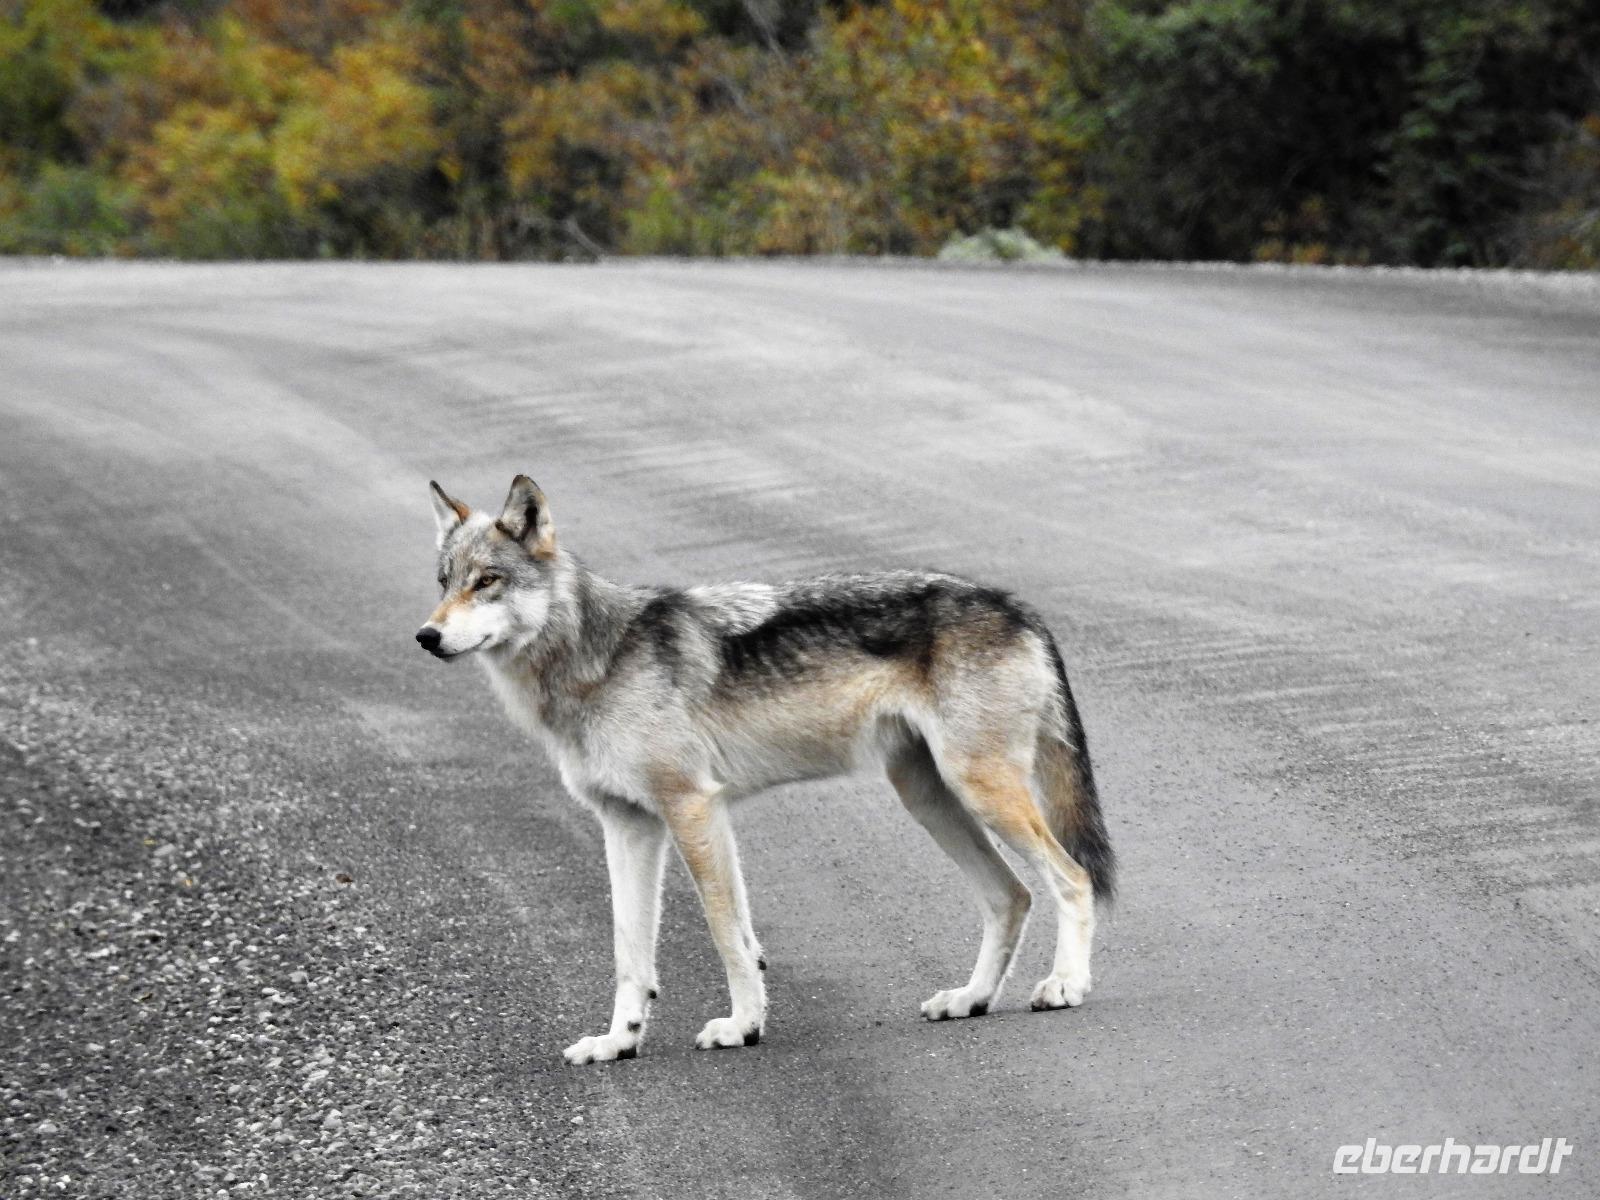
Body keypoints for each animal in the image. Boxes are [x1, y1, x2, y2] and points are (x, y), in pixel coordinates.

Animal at [416, 475, 1114, 1063]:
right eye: (444, 582)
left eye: (487, 581)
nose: (426, 636)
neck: (596, 659)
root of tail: (1016, 604)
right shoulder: (629, 825)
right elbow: (630, 953)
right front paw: (618, 1041)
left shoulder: (694, 808)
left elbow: (728, 935)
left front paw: (743, 1026)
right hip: (930, 799)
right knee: (1012, 895)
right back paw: (970, 999)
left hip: (981, 791)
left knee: (1071, 877)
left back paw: (1065, 985)